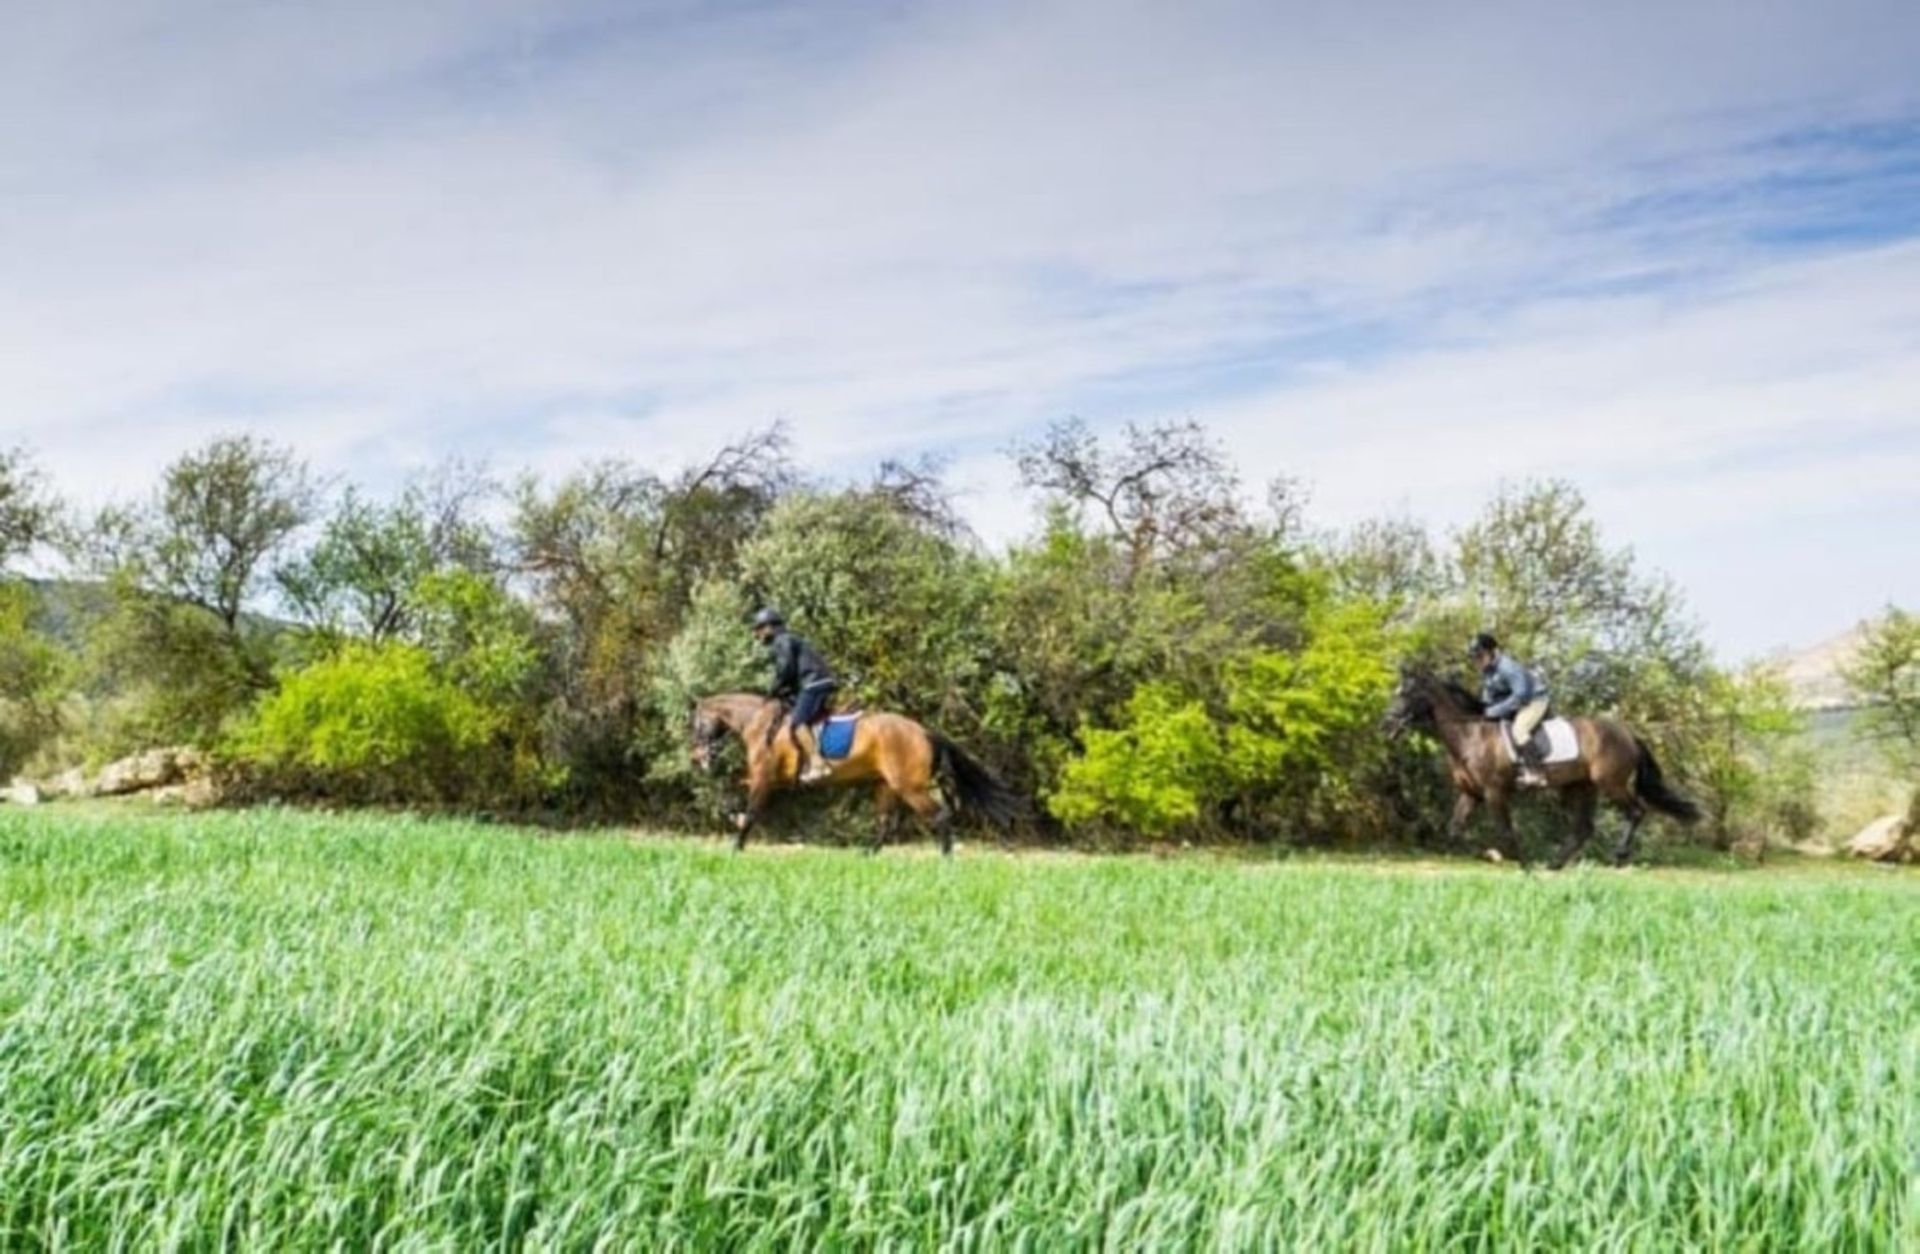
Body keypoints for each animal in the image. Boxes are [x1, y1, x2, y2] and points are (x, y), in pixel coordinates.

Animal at [687, 691, 1021, 856]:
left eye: (696, 724)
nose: (699, 758)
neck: (758, 721)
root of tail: (925, 732)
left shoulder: (764, 778)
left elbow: (753, 811)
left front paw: (736, 845)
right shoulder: (766, 779)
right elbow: (733, 793)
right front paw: (731, 815)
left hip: (909, 787)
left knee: (938, 815)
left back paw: (946, 857)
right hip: (884, 786)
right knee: (887, 824)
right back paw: (867, 855)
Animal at [1382, 668, 1697, 864]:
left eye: (1407, 693)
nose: (1386, 724)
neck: (1471, 733)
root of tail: (1629, 734)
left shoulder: (1495, 792)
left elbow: (1506, 833)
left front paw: (1509, 859)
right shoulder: (1471, 793)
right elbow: (1454, 830)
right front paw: (1488, 854)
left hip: (1611, 783)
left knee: (1635, 811)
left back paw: (1618, 856)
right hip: (1579, 787)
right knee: (1584, 827)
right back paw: (1554, 864)